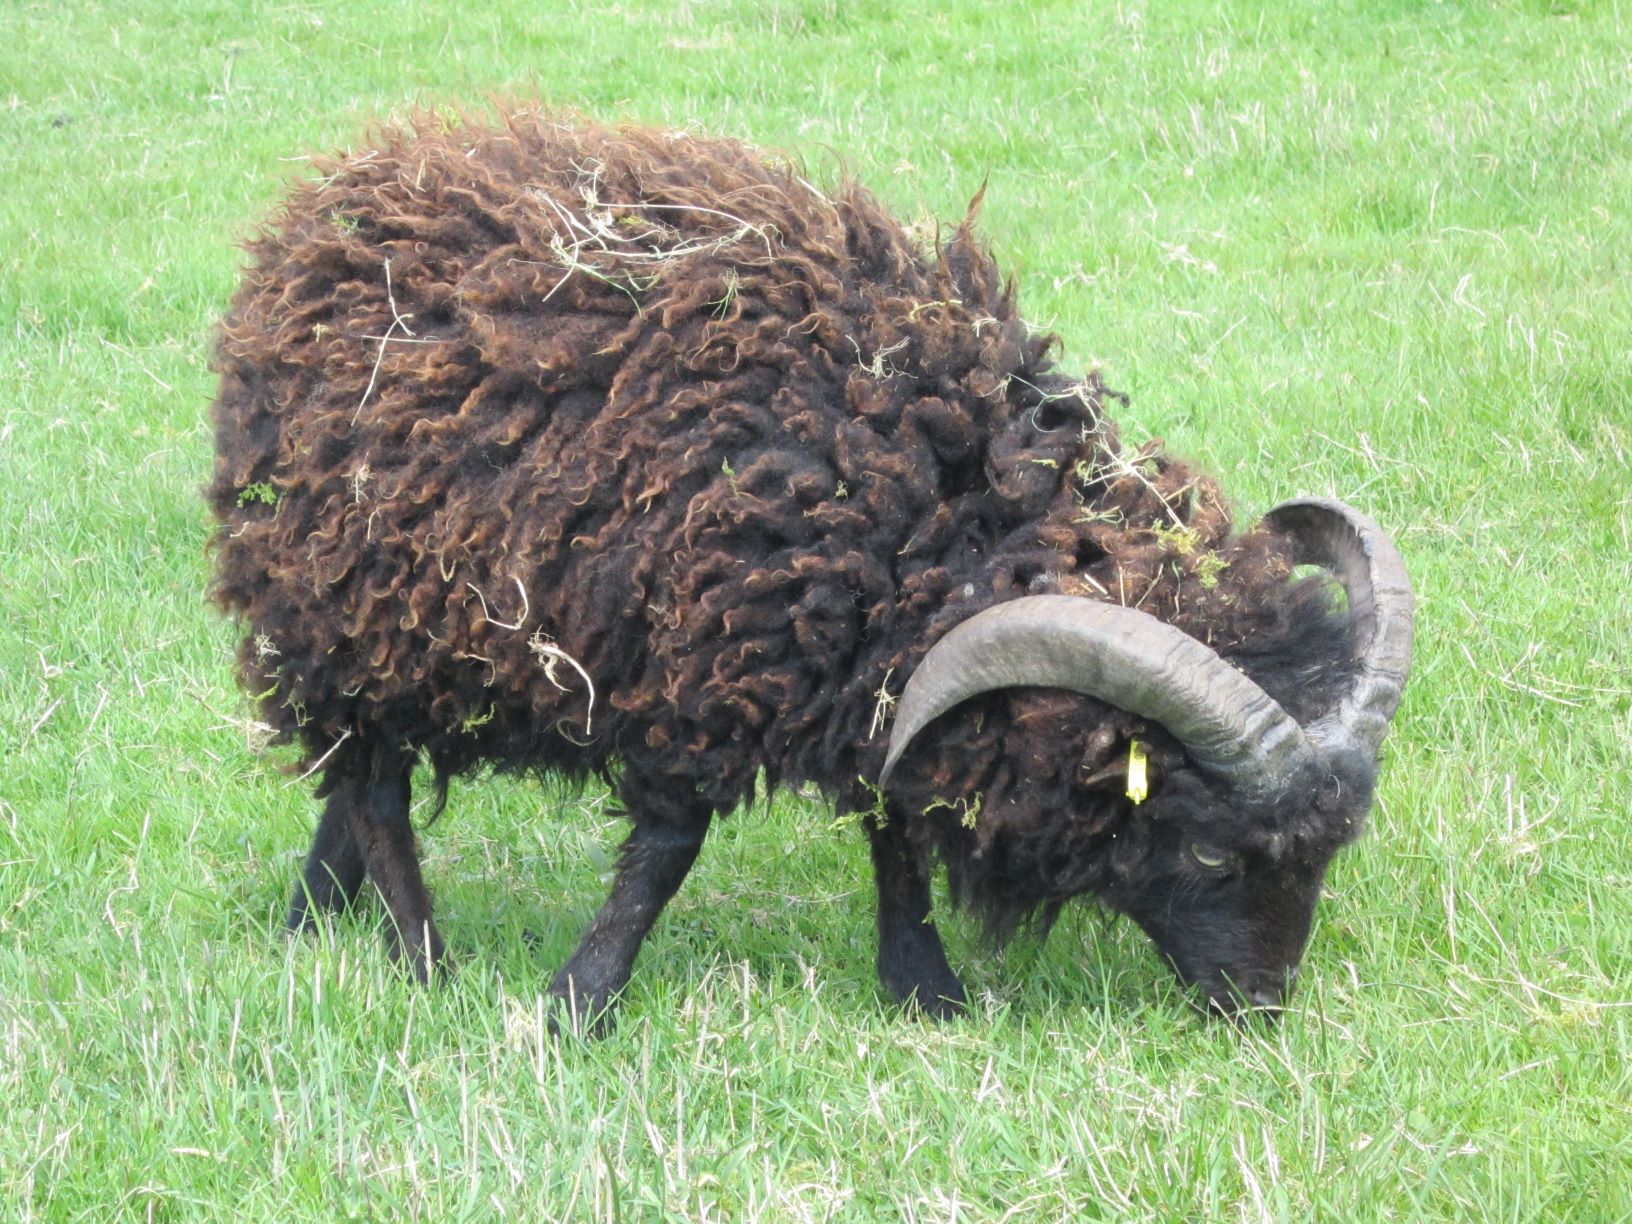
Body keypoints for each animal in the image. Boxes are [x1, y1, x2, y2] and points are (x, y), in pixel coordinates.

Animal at [210, 110, 1416, 1031]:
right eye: (1208, 854)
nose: (1258, 1010)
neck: (937, 509)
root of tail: (332, 204)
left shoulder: (873, 666)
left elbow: (895, 833)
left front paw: (927, 992)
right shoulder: (690, 661)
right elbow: (665, 852)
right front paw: (577, 1005)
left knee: (352, 775)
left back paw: (316, 914)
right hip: (341, 603)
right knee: (375, 787)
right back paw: (422, 961)